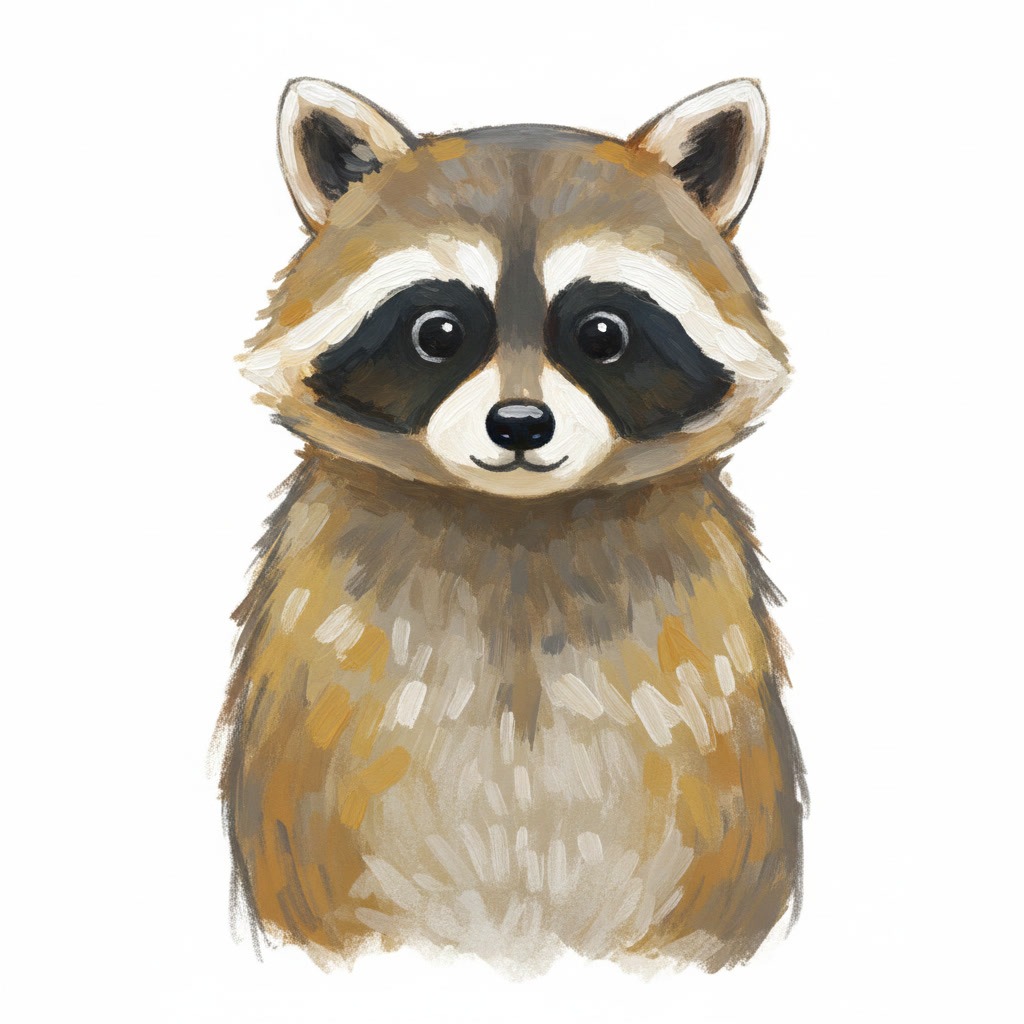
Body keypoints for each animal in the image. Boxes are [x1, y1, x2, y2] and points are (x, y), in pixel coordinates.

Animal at [217, 77, 805, 974]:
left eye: (602, 333)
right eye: (438, 333)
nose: (520, 424)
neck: (517, 528)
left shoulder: (725, 750)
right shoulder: (305, 741)